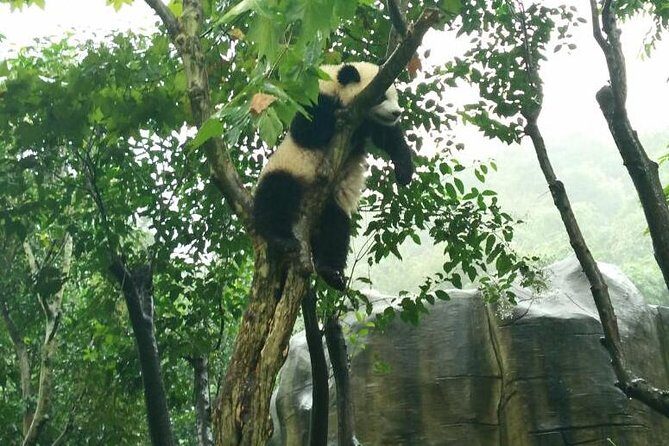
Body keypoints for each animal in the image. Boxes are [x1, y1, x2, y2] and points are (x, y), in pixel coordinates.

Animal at [253, 61, 414, 290]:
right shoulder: (314, 102)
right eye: (382, 97)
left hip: (329, 202)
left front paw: (404, 172)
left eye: (395, 96)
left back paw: (331, 273)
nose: (397, 113)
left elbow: (389, 138)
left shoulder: (369, 123)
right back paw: (281, 238)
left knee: (335, 228)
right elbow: (308, 131)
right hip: (288, 169)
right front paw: (337, 115)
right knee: (276, 194)